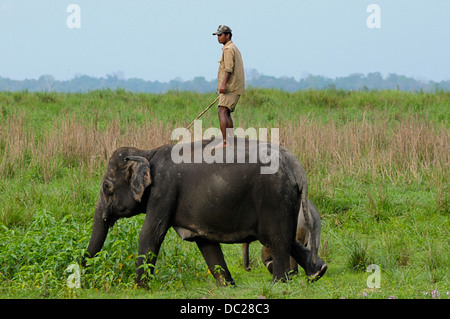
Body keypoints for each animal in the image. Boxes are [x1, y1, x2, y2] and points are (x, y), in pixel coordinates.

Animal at [82, 138, 326, 288]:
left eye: (106, 187)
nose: (81, 277)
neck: (147, 153)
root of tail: (295, 164)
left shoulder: (164, 191)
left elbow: (151, 234)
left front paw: (139, 287)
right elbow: (205, 242)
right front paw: (228, 286)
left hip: (273, 197)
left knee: (276, 238)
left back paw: (278, 284)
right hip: (288, 200)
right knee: (285, 238)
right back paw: (318, 272)